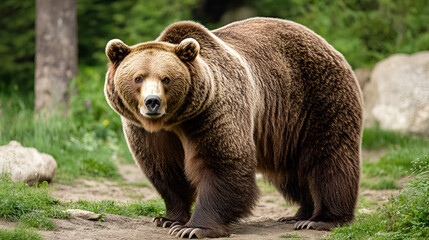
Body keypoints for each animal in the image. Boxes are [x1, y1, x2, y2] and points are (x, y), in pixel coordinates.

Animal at [103, 17, 362, 238]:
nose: (152, 102)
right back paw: (299, 214)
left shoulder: (212, 111)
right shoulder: (149, 132)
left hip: (318, 99)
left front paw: (194, 228)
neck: (174, 120)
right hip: (285, 130)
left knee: (328, 158)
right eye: (138, 77)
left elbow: (221, 162)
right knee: (291, 172)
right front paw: (168, 219)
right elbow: (166, 169)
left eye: (166, 78)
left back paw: (320, 219)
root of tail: (326, 43)